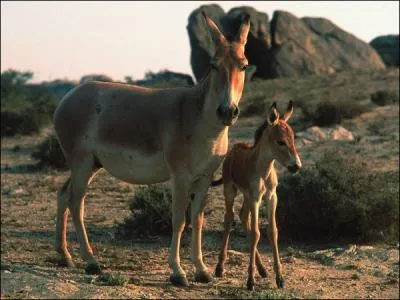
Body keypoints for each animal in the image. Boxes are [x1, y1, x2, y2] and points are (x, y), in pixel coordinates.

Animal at [214, 101, 302, 290]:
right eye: (281, 142)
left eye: (293, 139)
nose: (296, 166)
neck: (264, 170)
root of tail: (235, 147)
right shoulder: (255, 198)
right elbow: (256, 234)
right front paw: (250, 280)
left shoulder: (271, 197)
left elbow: (272, 231)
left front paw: (279, 278)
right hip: (230, 190)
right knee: (229, 219)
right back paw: (220, 268)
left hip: (247, 197)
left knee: (243, 217)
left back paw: (262, 269)